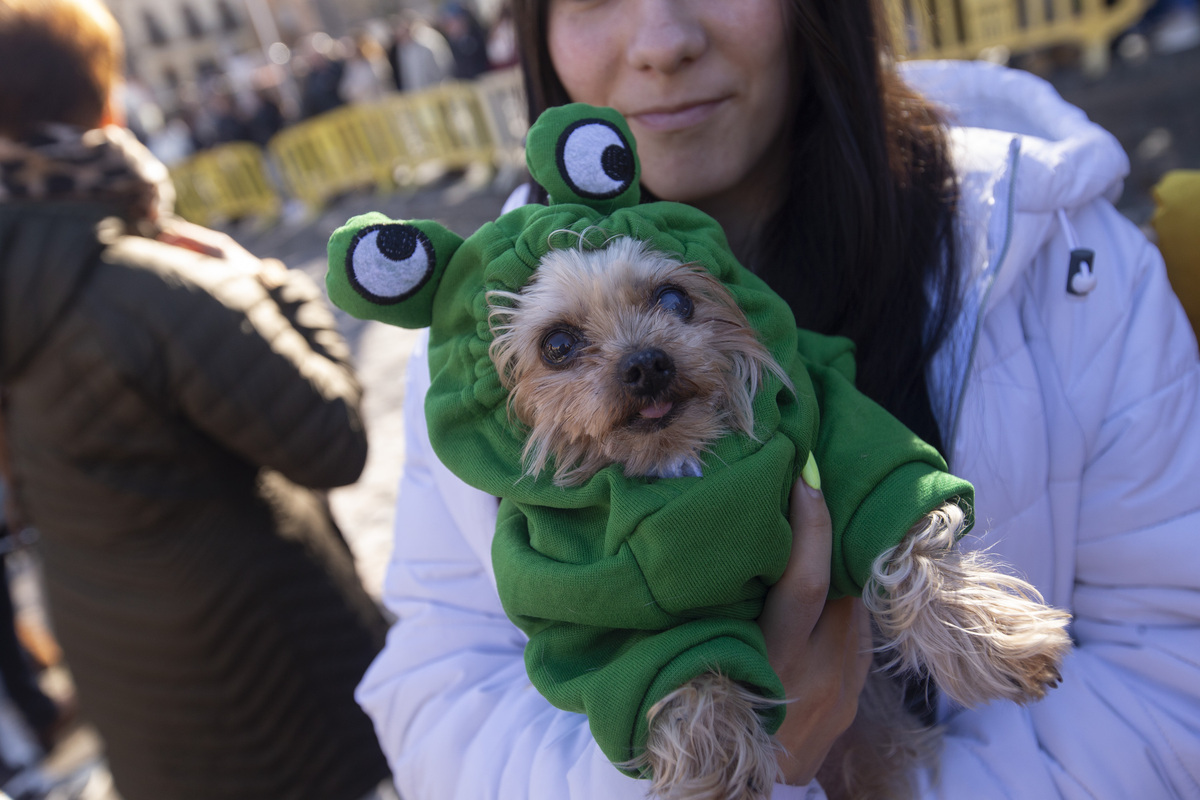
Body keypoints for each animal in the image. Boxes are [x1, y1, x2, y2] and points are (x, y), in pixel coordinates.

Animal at [487, 236, 1070, 800]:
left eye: (674, 298)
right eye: (557, 345)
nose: (645, 362)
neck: (687, 467)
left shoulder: (847, 442)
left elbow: (905, 534)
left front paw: (997, 640)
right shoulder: (594, 598)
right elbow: (668, 661)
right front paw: (715, 762)